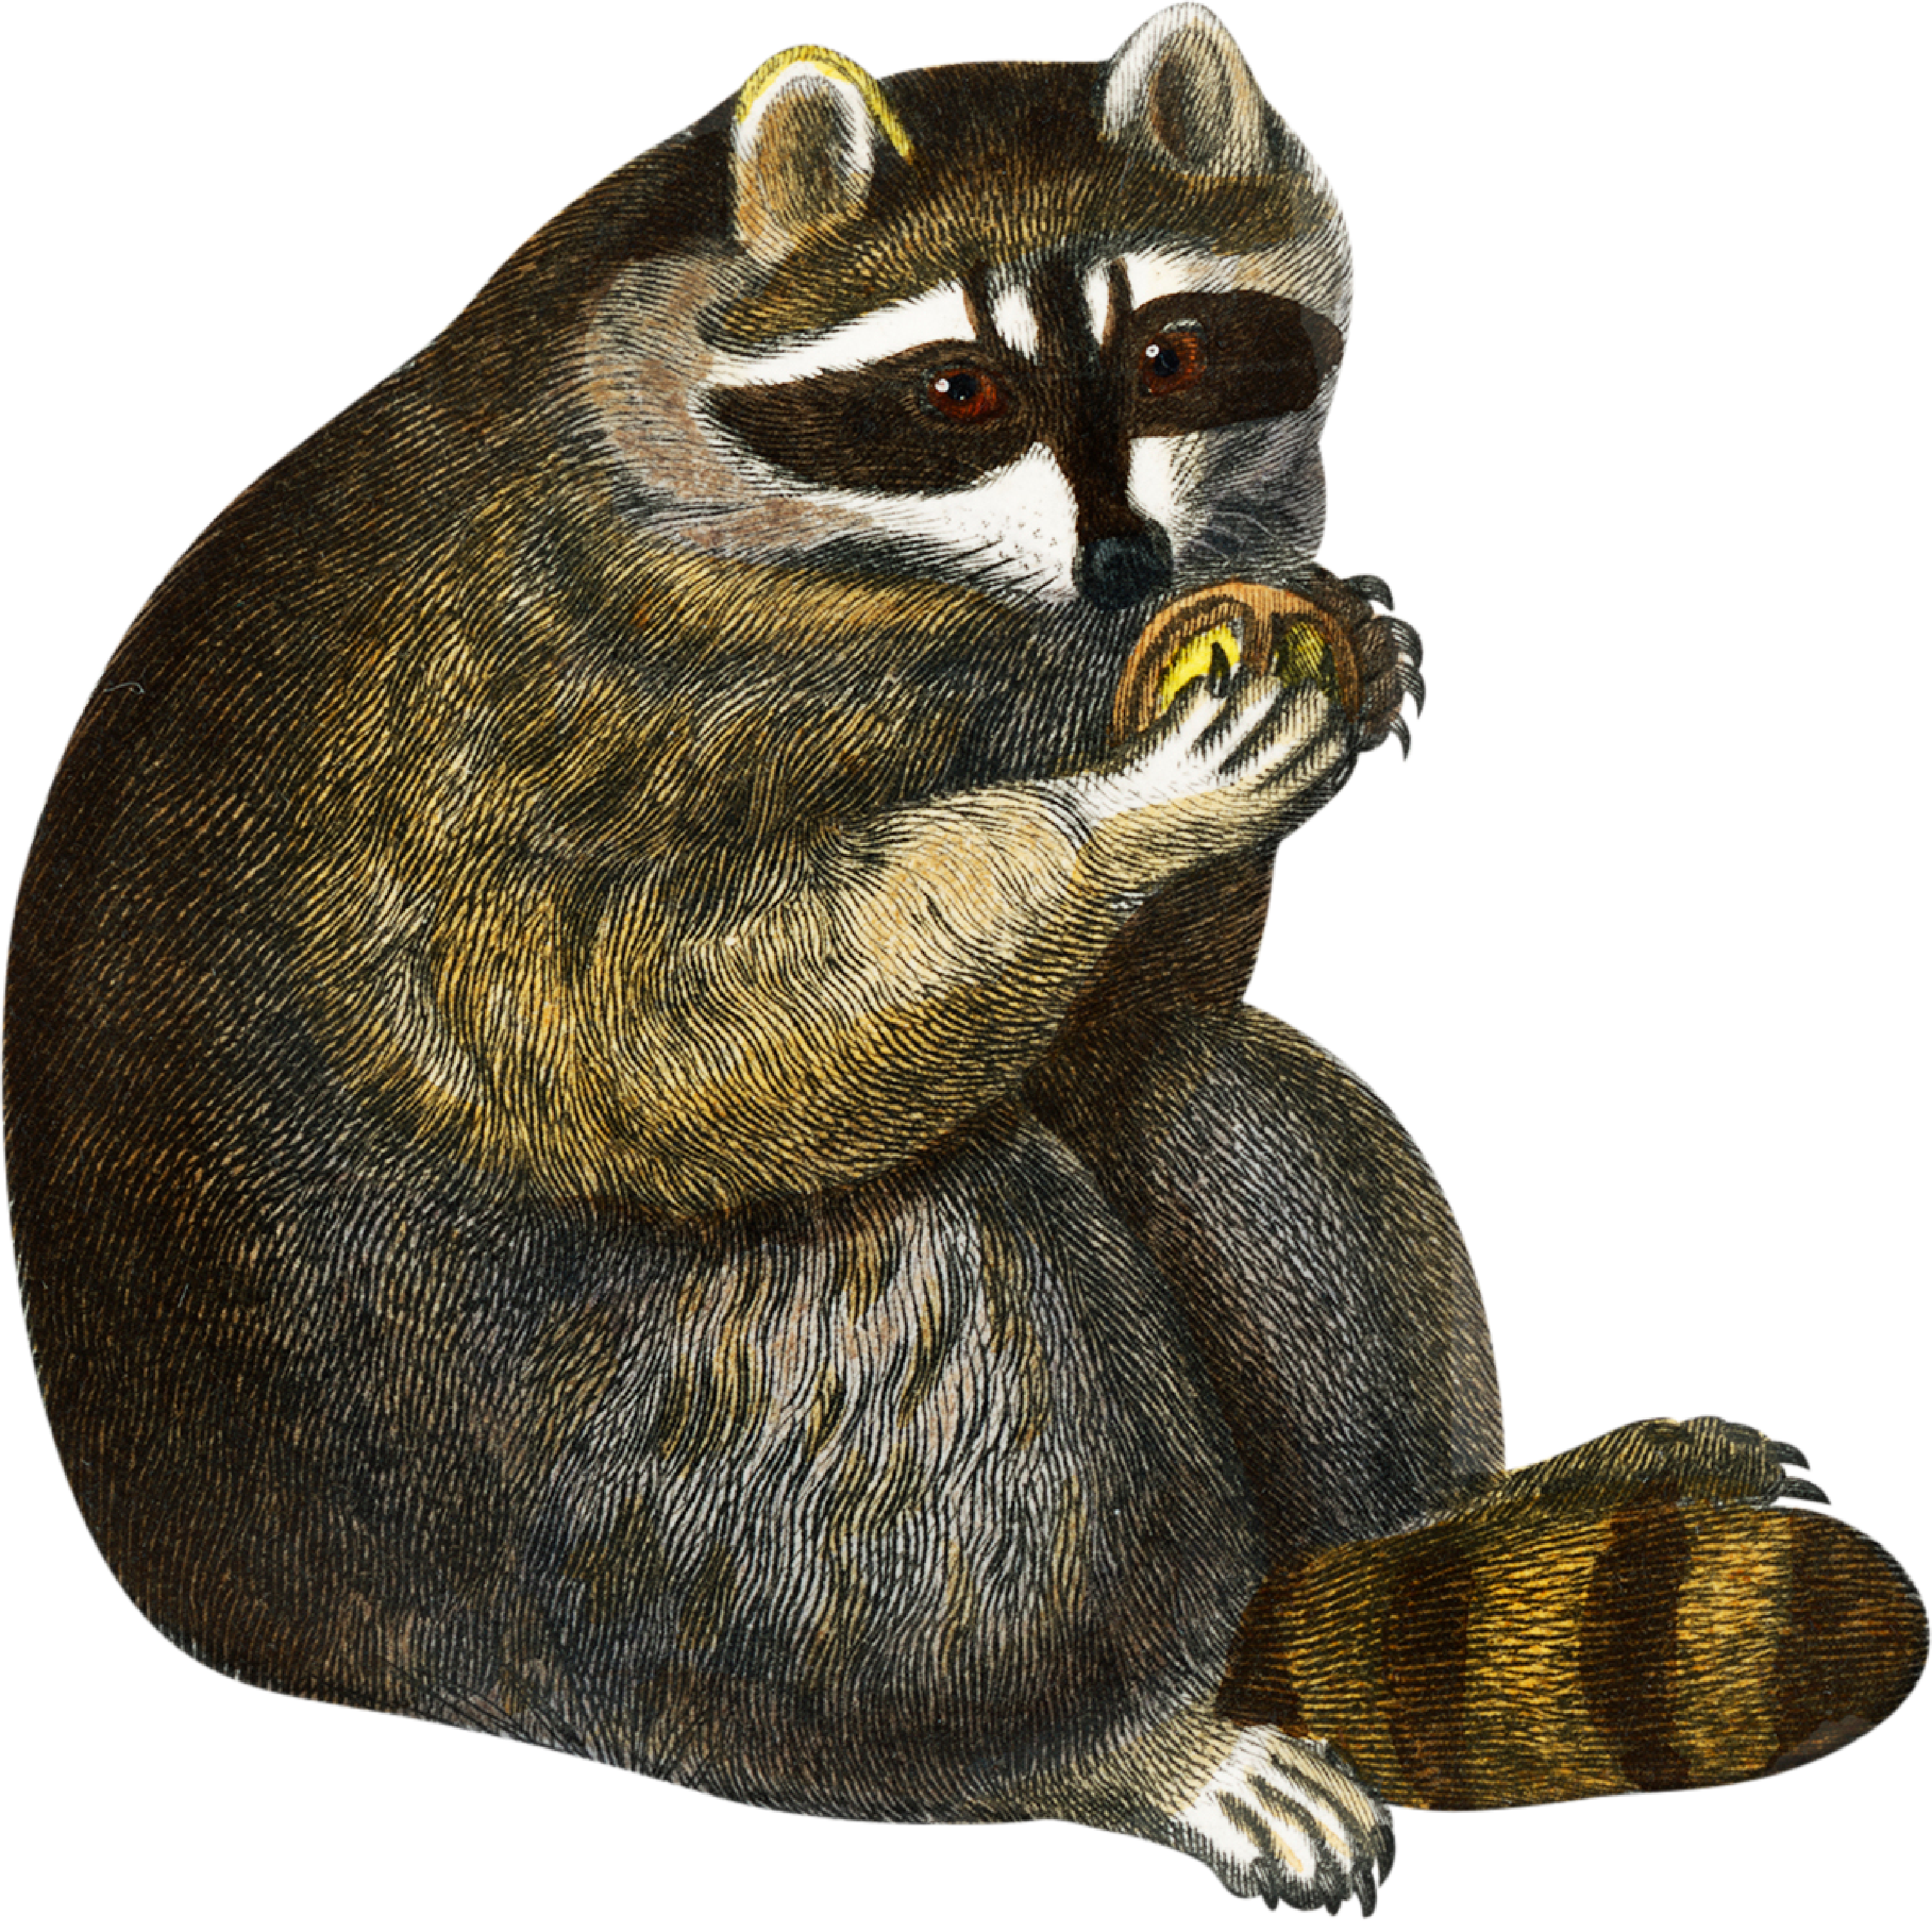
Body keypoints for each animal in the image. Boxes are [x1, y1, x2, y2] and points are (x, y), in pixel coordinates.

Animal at [4, 8, 1922, 1920]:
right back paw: (1116, 1721)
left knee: (1228, 1098)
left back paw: (1420, 1525)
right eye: (957, 392)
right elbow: (635, 1016)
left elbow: (1142, 1016)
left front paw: (1321, 657)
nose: (1130, 560)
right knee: (923, 1306)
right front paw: (1126, 810)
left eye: (1172, 349)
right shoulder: (550, 679)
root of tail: (283, 1605)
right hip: (568, 1494)